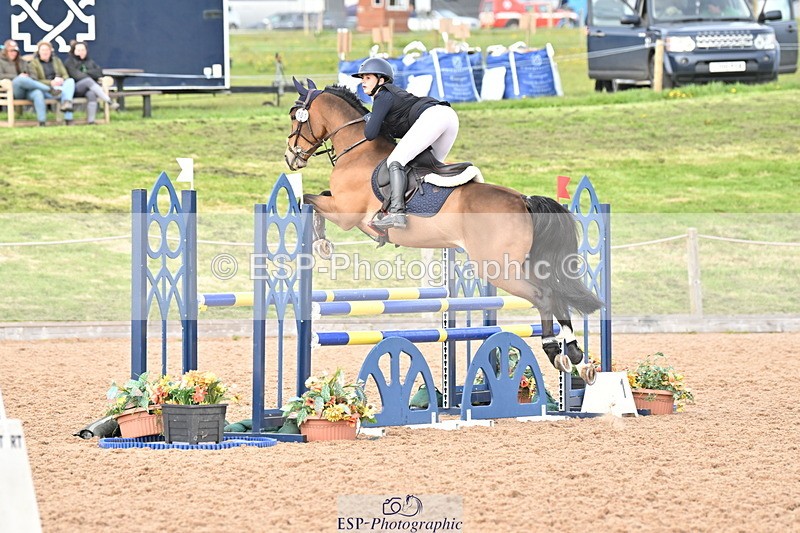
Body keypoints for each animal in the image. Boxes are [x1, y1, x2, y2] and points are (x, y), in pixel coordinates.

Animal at [284, 79, 602, 383]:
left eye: (294, 116)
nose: (291, 158)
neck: (357, 149)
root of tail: (523, 200)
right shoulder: (340, 206)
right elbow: (316, 197)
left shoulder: (345, 213)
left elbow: (310, 199)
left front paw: (321, 244)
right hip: (522, 263)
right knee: (557, 293)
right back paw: (576, 355)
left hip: (497, 268)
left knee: (543, 295)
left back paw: (554, 351)